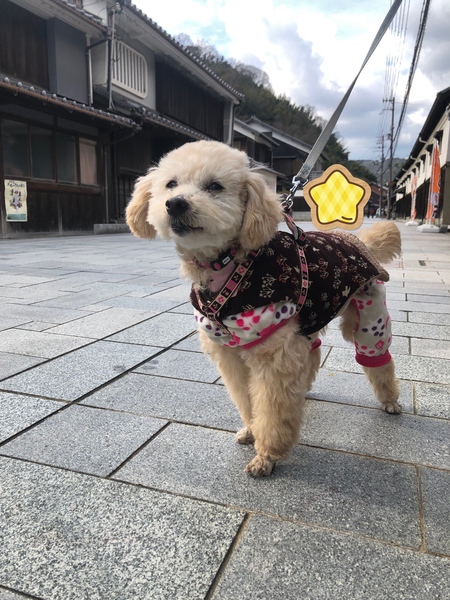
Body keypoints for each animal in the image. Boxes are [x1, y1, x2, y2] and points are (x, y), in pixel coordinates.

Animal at [126, 140, 402, 477]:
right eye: (170, 184)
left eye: (214, 186)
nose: (175, 204)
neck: (226, 265)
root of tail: (357, 241)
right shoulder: (229, 352)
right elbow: (246, 398)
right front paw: (252, 430)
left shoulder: (274, 353)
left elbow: (272, 407)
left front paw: (267, 455)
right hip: (308, 321)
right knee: (312, 354)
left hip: (368, 315)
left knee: (377, 358)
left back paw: (390, 401)